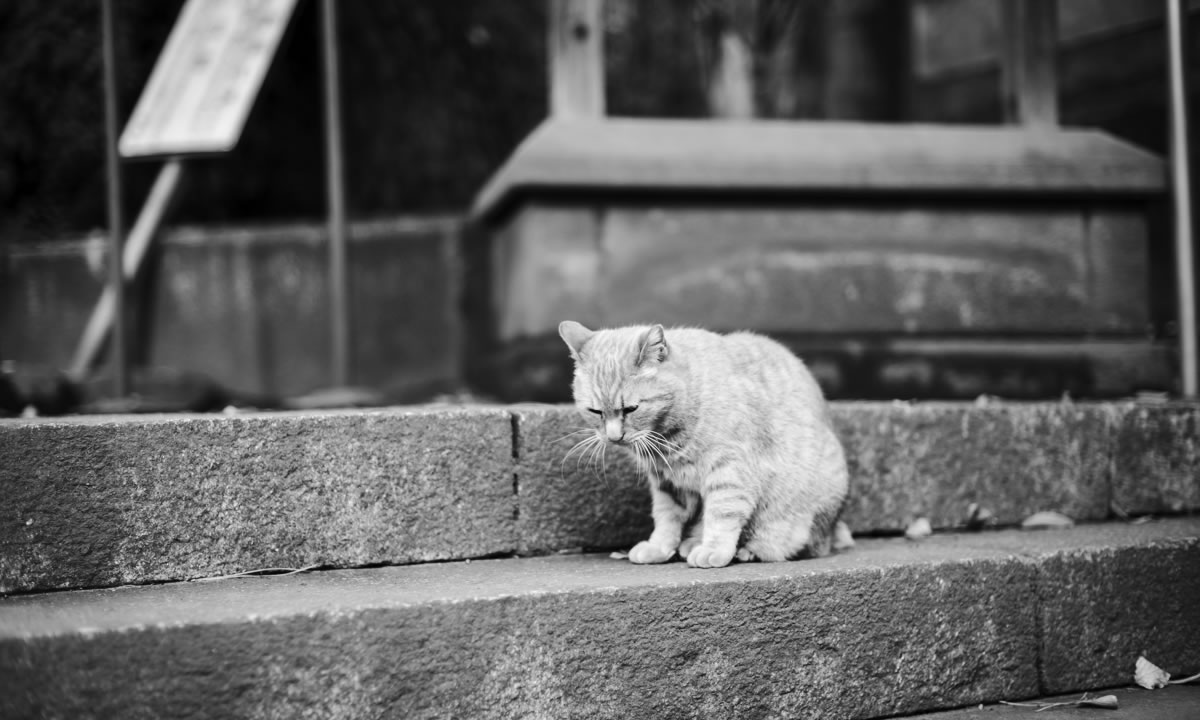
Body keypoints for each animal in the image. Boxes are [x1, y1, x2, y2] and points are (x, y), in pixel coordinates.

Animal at [556, 321, 849, 568]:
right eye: (595, 412)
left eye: (631, 409)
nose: (613, 436)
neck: (668, 440)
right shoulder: (667, 483)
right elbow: (666, 518)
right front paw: (658, 547)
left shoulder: (729, 472)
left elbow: (721, 515)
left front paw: (714, 550)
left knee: (795, 544)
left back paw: (745, 550)